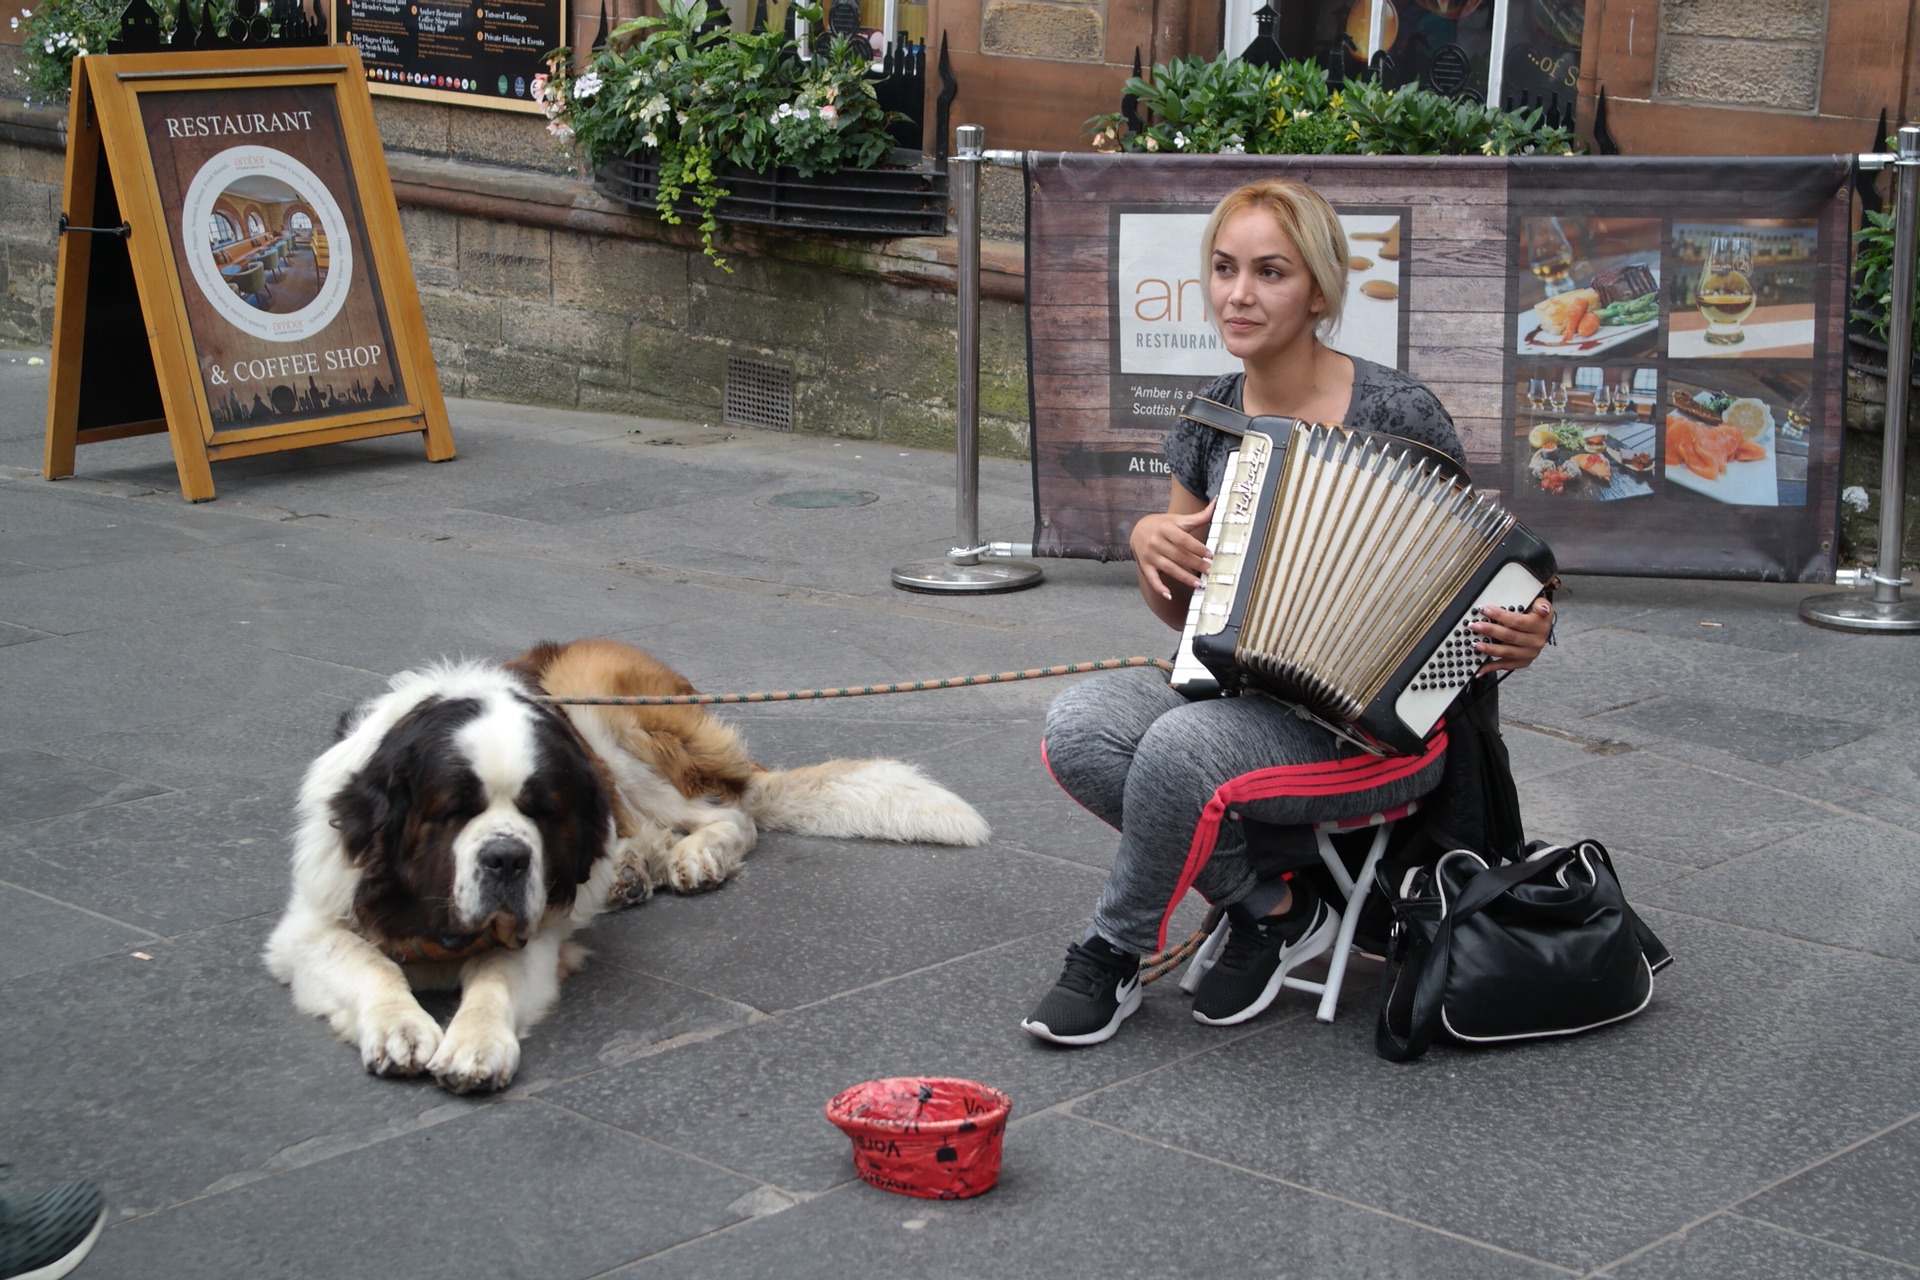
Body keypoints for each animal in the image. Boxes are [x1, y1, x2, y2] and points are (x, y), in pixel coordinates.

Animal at [266, 637, 990, 1090]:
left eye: (539, 811)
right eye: (453, 812)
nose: (506, 857)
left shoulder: (536, 929)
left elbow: (494, 979)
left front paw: (475, 1043)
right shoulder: (306, 926)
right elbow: (370, 963)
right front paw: (400, 1028)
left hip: (610, 720)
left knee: (732, 813)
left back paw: (693, 857)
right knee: (642, 829)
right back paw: (630, 873)